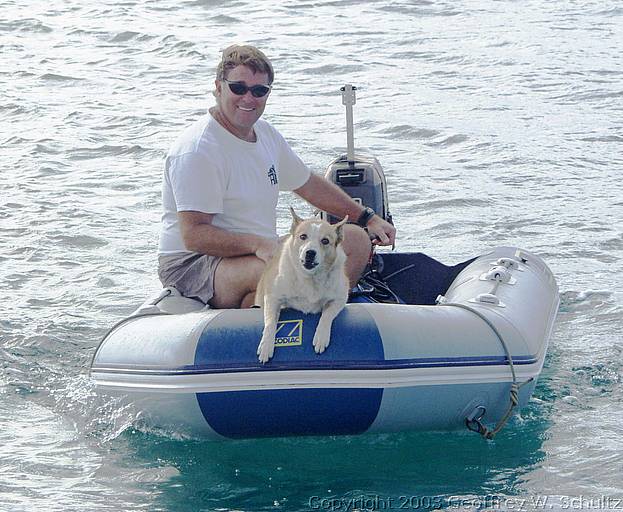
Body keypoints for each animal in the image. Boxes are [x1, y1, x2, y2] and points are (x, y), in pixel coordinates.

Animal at [255, 208, 352, 364]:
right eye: (303, 236)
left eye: (325, 241)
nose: (310, 253)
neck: (310, 277)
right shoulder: (272, 298)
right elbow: (270, 322)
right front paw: (266, 345)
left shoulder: (340, 298)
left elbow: (327, 315)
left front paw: (321, 336)